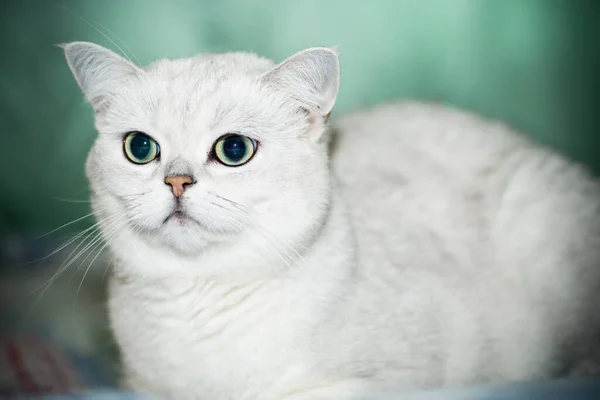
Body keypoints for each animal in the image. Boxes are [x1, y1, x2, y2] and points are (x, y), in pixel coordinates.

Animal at [62, 43, 600, 400]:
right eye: (140, 148)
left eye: (233, 149)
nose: (176, 181)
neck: (199, 298)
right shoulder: (143, 386)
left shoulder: (373, 383)